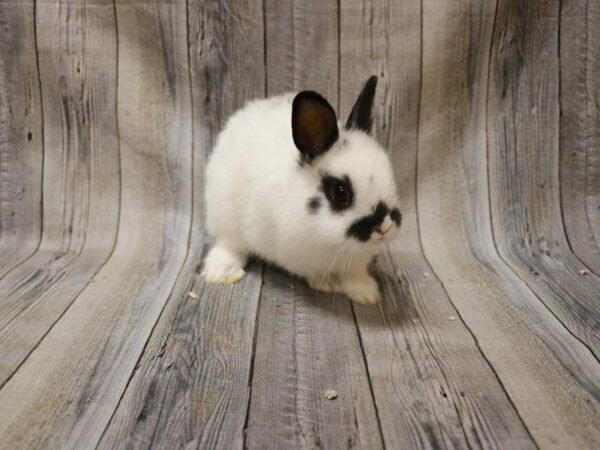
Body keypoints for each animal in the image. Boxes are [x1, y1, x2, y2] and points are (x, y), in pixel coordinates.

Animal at [202, 75, 404, 304]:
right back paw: (220, 272)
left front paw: (367, 294)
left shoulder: (355, 261)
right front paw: (327, 284)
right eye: (340, 192)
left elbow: (354, 274)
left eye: (389, 173)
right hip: (224, 215)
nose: (385, 226)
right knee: (229, 244)